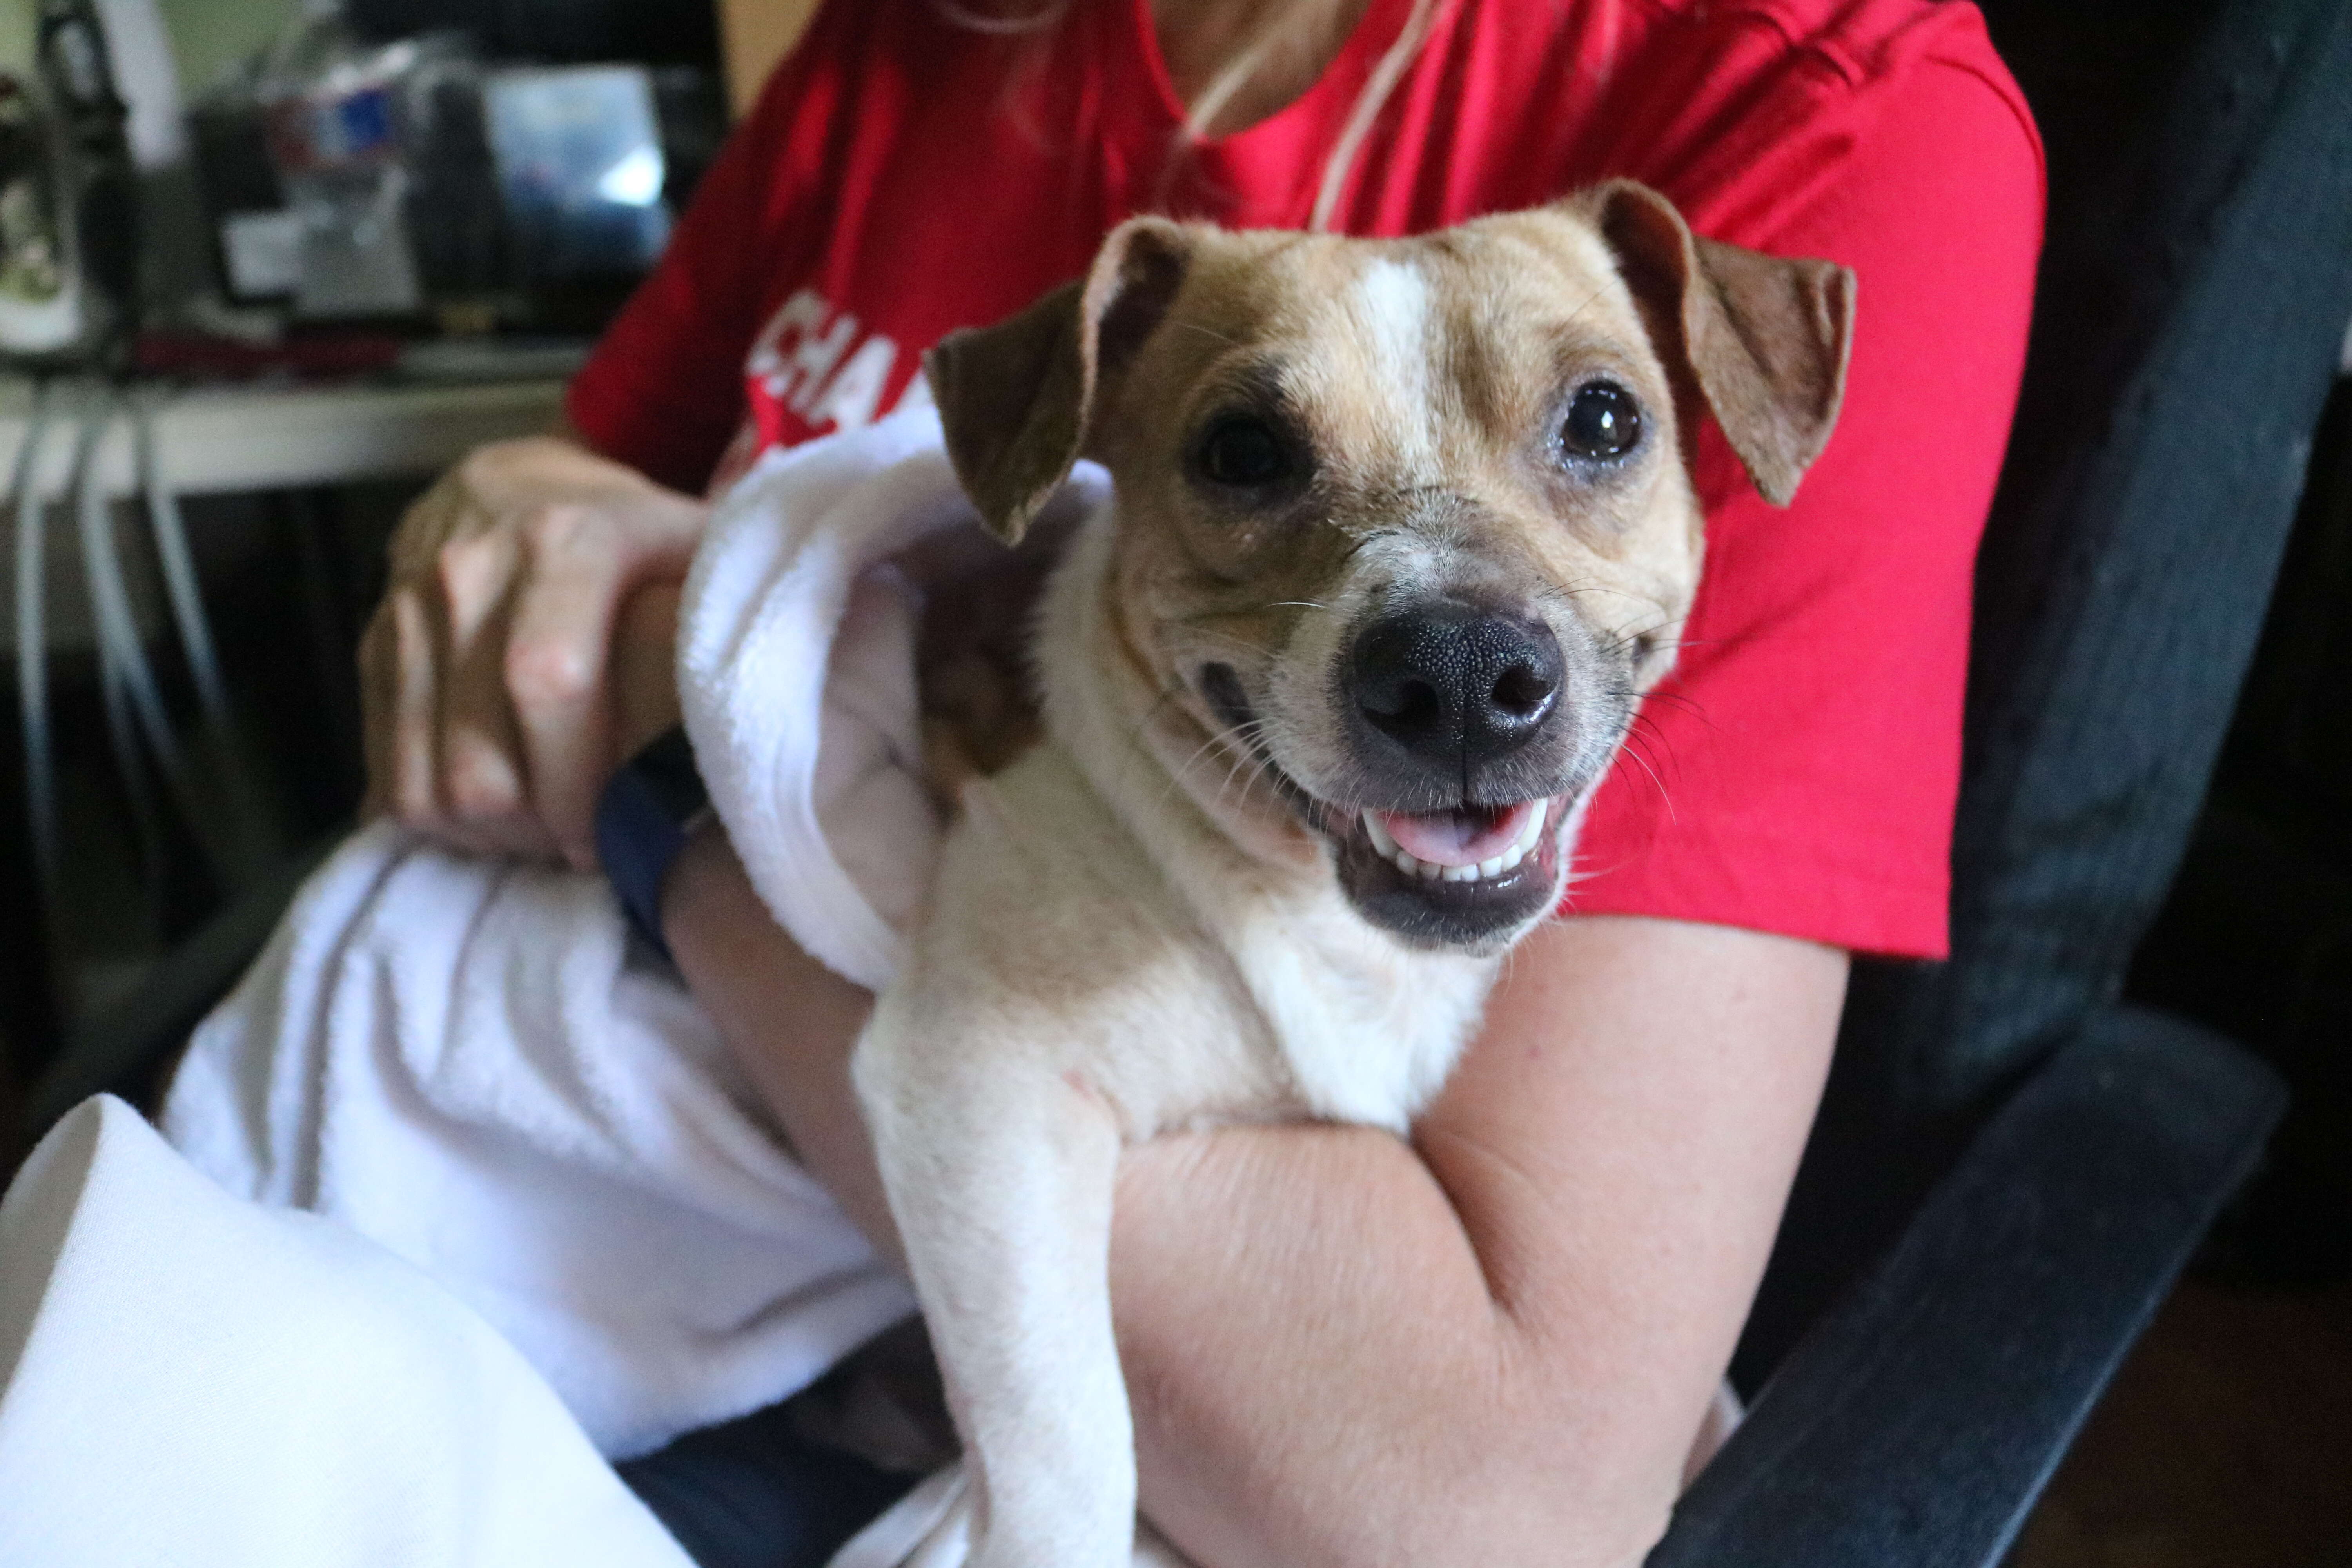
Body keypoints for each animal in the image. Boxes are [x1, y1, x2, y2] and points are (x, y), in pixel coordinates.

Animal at [851, 187, 1853, 1568]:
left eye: (1605, 419)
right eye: (1238, 451)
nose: (1458, 675)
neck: (1316, 920)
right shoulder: (974, 1082)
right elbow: (1062, 1445)